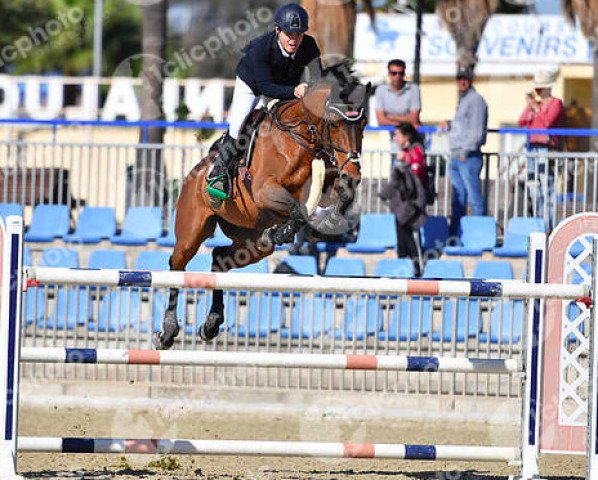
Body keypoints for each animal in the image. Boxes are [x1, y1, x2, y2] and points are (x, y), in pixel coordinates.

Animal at [152, 67, 372, 350]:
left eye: (363, 124)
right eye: (334, 123)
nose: (353, 172)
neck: (300, 136)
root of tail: (195, 172)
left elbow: (338, 197)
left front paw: (326, 221)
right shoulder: (264, 190)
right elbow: (298, 209)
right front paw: (284, 231)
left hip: (251, 242)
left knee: (220, 259)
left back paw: (211, 324)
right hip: (192, 230)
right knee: (177, 265)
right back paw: (168, 332)